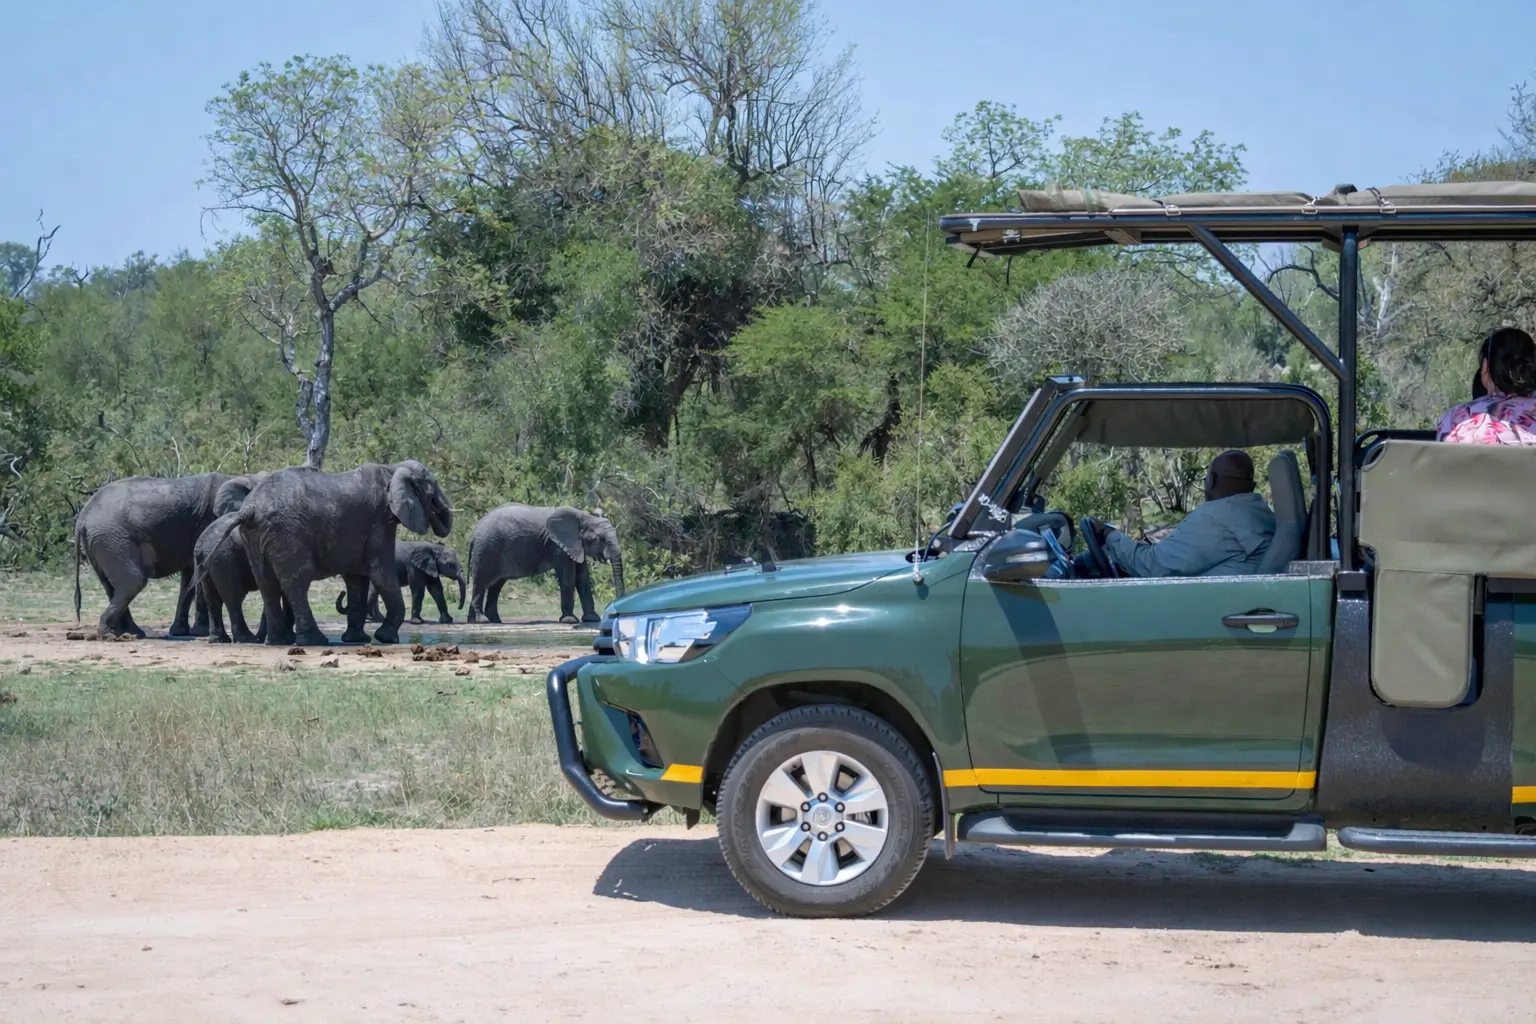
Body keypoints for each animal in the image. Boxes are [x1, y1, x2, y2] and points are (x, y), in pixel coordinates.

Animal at [73, 471, 255, 638]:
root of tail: (82, 518)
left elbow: (190, 576)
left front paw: (182, 632)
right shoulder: (209, 521)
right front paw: (200, 632)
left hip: (101, 540)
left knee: (111, 586)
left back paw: (128, 633)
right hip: (112, 538)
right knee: (133, 582)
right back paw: (111, 634)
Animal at [199, 460, 452, 647]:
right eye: (433, 489)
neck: (393, 468)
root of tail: (250, 509)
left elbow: (357, 579)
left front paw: (357, 640)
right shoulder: (379, 523)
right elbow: (380, 574)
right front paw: (386, 638)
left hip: (255, 537)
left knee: (268, 584)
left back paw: (277, 642)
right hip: (287, 534)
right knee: (297, 581)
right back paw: (313, 641)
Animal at [334, 541, 466, 625]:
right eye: (451, 565)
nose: (459, 608)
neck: (435, 547)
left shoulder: (431, 567)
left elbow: (436, 590)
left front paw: (447, 620)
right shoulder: (413, 566)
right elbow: (419, 590)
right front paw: (417, 622)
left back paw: (376, 619)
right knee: (373, 591)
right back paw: (373, 619)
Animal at [467, 504, 625, 625]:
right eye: (598, 539)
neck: (583, 516)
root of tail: (474, 533)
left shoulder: (576, 546)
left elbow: (583, 579)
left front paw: (592, 619)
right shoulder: (558, 546)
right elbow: (568, 579)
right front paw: (569, 620)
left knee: (495, 586)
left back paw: (486, 621)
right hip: (486, 549)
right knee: (481, 582)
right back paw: (482, 620)